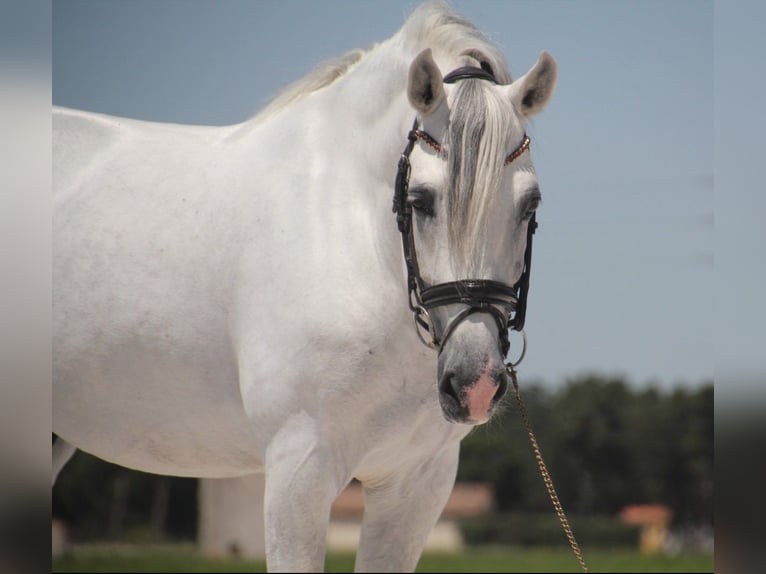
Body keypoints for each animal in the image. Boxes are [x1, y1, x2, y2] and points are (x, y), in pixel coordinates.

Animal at [52, 3, 560, 572]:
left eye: (531, 204)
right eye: (421, 200)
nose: (474, 383)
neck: (349, 239)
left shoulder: (415, 487)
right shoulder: (298, 474)